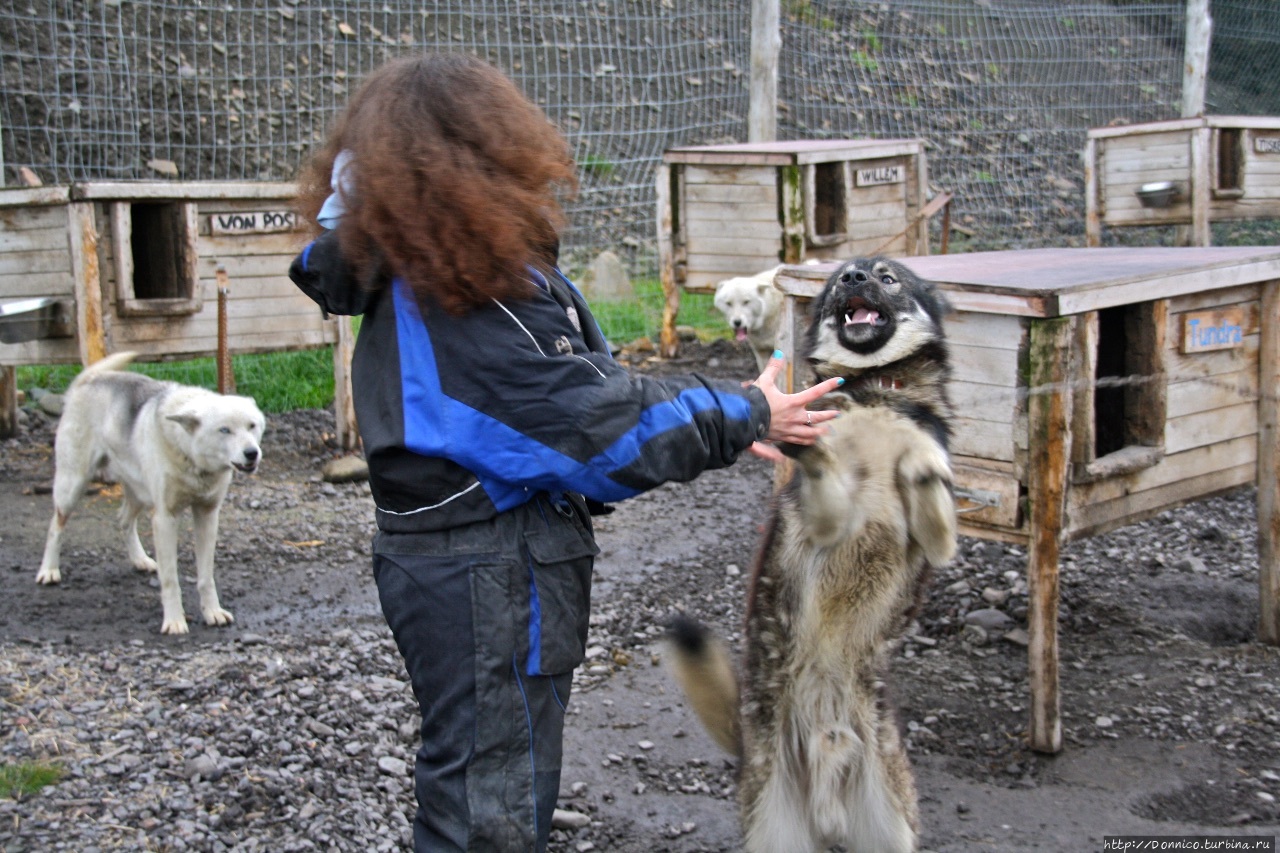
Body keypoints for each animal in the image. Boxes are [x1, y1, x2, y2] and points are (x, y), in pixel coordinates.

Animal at [36, 348, 264, 635]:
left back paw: (139, 559)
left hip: (139, 494)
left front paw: (212, 612)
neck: (190, 456)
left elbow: (205, 576)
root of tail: (90, 379)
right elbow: (170, 580)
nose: (252, 453)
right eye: (225, 430)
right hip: (72, 486)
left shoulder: (207, 515)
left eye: (252, 426)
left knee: (123, 520)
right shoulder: (165, 519)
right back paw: (49, 570)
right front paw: (175, 621)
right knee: (55, 526)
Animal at [670, 256, 952, 845]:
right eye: (843, 275)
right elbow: (824, 463)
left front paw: (920, 465)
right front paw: (807, 437)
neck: (875, 389)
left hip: (891, 831)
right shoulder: (823, 520)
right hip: (776, 829)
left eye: (887, 277)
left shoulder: (937, 542)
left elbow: (930, 485)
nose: (851, 279)